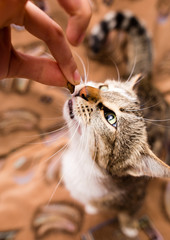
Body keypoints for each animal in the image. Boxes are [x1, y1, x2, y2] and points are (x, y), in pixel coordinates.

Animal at [60, 10, 169, 237]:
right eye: (103, 86)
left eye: (111, 118)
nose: (85, 90)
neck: (81, 161)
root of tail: (147, 81)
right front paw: (92, 207)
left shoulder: (136, 197)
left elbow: (128, 213)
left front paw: (128, 227)